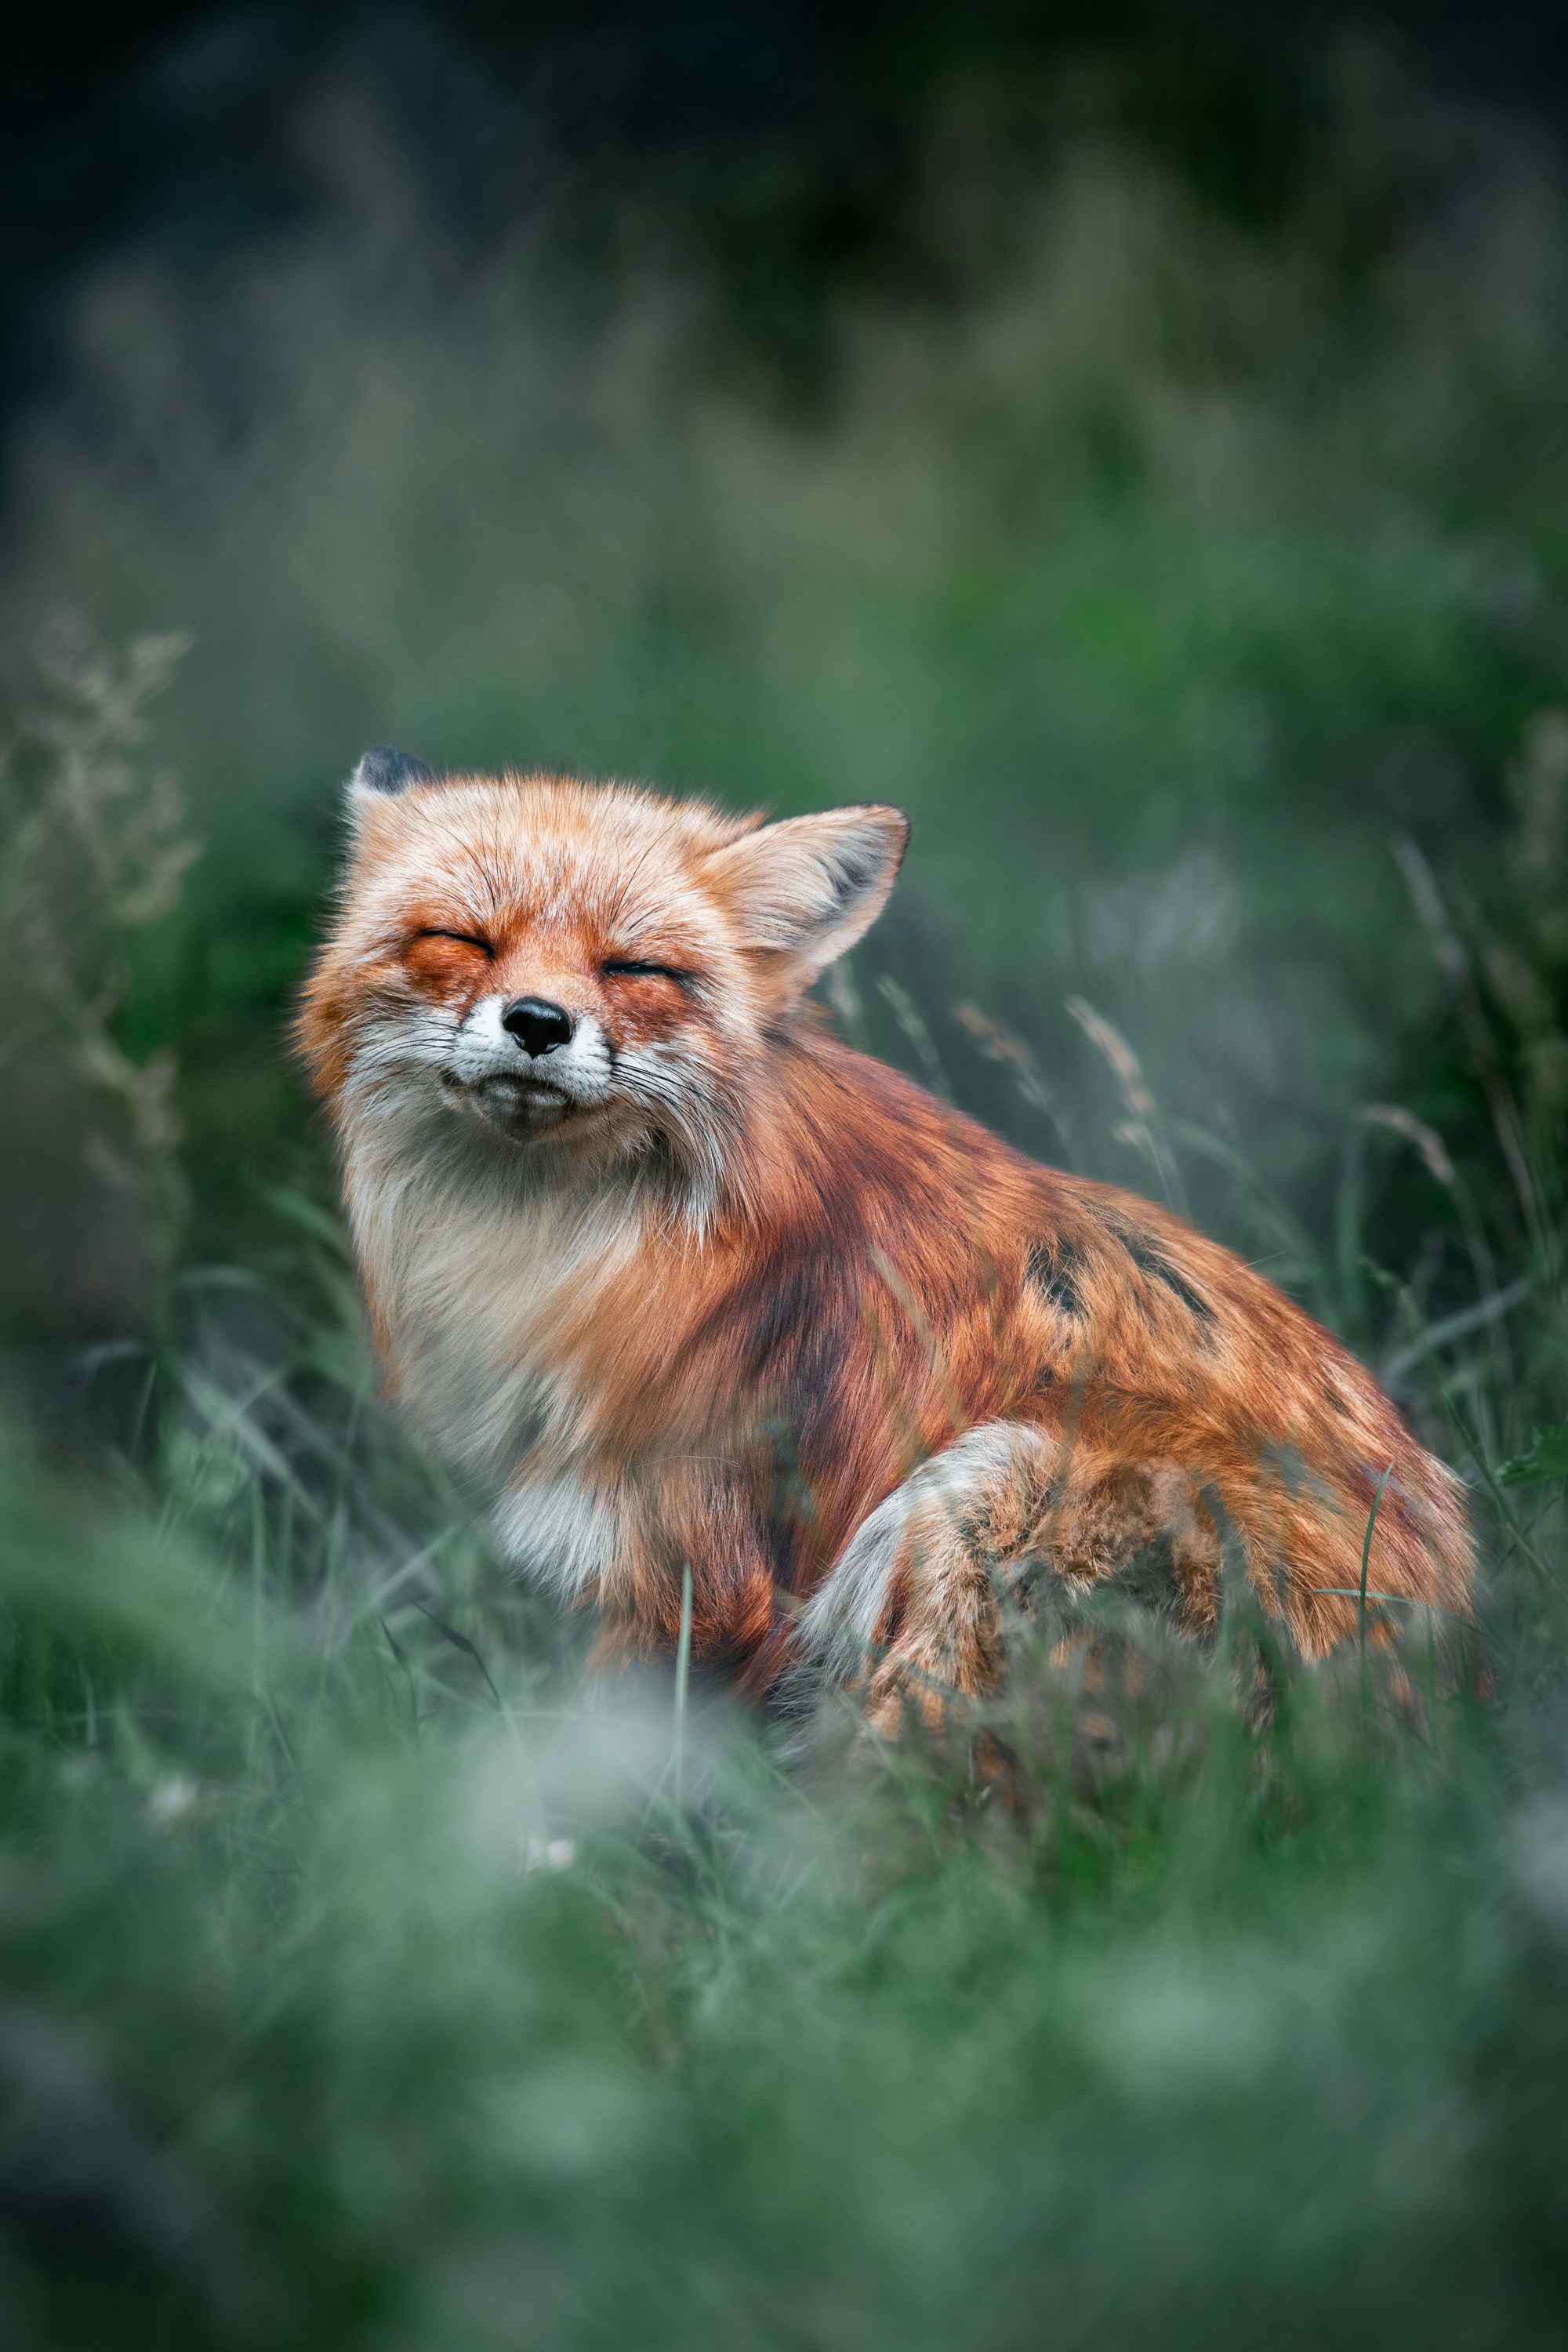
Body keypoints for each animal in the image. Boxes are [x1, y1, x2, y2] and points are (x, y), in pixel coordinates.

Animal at [299, 747, 1473, 1731]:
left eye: (634, 969)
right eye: (462, 939)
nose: (538, 1023)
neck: (588, 1248)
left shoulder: (704, 1573)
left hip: (988, 1491)